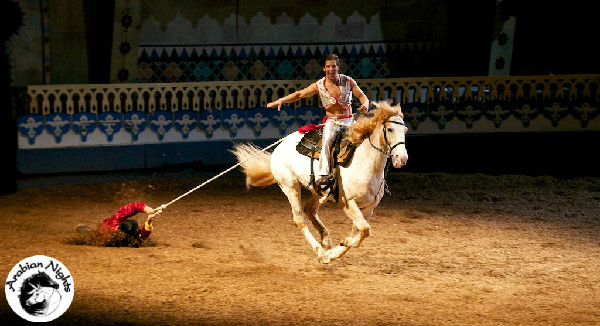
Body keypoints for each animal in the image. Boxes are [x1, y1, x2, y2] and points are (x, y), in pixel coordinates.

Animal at [230, 100, 408, 264]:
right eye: (390, 129)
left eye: (405, 130)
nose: (402, 158)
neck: (364, 163)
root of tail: (278, 149)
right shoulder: (347, 203)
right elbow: (364, 230)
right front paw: (337, 248)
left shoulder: (368, 208)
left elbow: (360, 232)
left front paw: (337, 249)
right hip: (290, 186)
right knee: (300, 220)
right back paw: (321, 252)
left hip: (316, 189)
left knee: (309, 210)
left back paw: (326, 241)